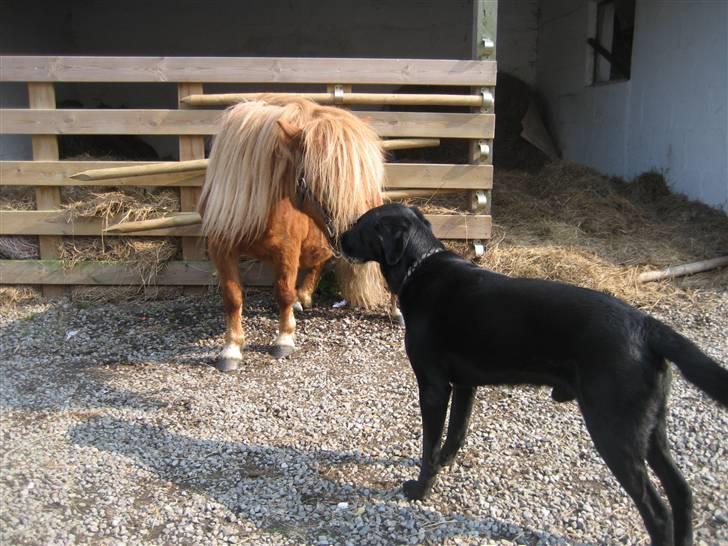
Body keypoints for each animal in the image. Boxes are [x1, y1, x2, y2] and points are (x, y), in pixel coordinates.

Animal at [196, 96, 390, 370]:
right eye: (319, 180)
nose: (353, 233)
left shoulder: (287, 250)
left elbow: (283, 292)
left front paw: (284, 338)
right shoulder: (221, 249)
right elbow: (233, 298)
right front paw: (231, 348)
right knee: (318, 262)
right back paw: (305, 295)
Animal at [342, 202, 728, 544]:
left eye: (362, 225)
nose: (337, 236)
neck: (420, 267)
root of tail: (646, 325)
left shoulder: (434, 387)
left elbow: (430, 443)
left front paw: (421, 489)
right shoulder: (465, 384)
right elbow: (456, 433)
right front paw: (444, 463)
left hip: (614, 431)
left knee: (658, 511)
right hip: (650, 428)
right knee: (682, 491)